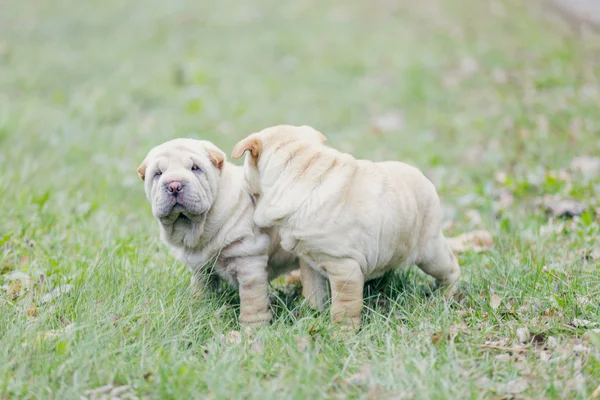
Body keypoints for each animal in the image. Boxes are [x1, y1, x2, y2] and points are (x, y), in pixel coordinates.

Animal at [136, 139, 296, 326]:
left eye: (195, 168)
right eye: (158, 174)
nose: (174, 185)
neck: (198, 227)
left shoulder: (249, 263)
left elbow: (252, 302)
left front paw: (252, 328)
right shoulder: (201, 268)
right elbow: (200, 289)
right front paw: (198, 309)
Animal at [232, 126, 462, 332]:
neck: (303, 174)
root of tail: (423, 177)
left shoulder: (344, 268)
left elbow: (343, 307)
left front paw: (341, 334)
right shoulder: (309, 263)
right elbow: (314, 294)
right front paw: (312, 315)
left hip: (431, 252)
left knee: (450, 268)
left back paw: (447, 294)